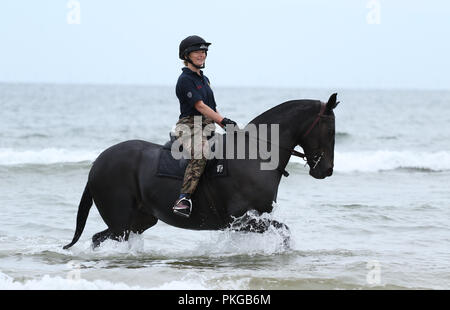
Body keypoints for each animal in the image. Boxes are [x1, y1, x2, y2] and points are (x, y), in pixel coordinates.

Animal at [62, 93, 338, 248]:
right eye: (330, 130)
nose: (326, 170)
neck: (254, 153)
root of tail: (99, 162)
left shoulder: (253, 218)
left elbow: (284, 232)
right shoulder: (242, 219)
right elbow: (284, 231)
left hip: (138, 220)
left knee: (102, 237)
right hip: (120, 221)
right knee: (99, 239)